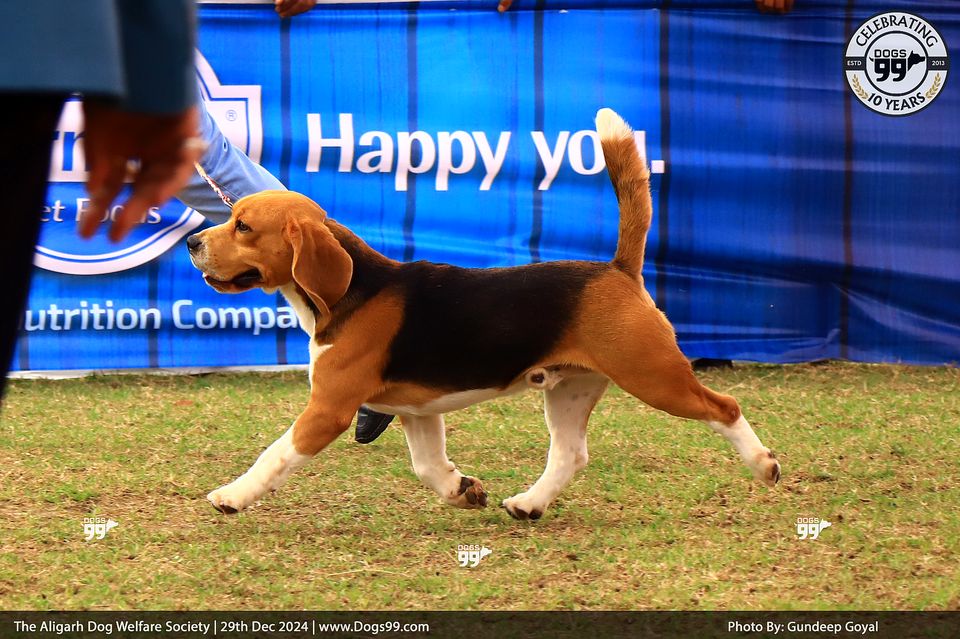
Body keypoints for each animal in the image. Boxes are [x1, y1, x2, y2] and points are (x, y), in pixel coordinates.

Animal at [187, 108, 780, 520]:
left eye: (243, 226)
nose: (193, 242)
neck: (352, 291)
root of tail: (617, 268)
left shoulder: (328, 409)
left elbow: (275, 455)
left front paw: (232, 495)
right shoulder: (418, 411)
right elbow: (428, 465)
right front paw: (462, 491)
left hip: (653, 375)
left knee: (724, 406)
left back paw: (763, 464)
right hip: (569, 388)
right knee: (571, 456)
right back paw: (529, 504)